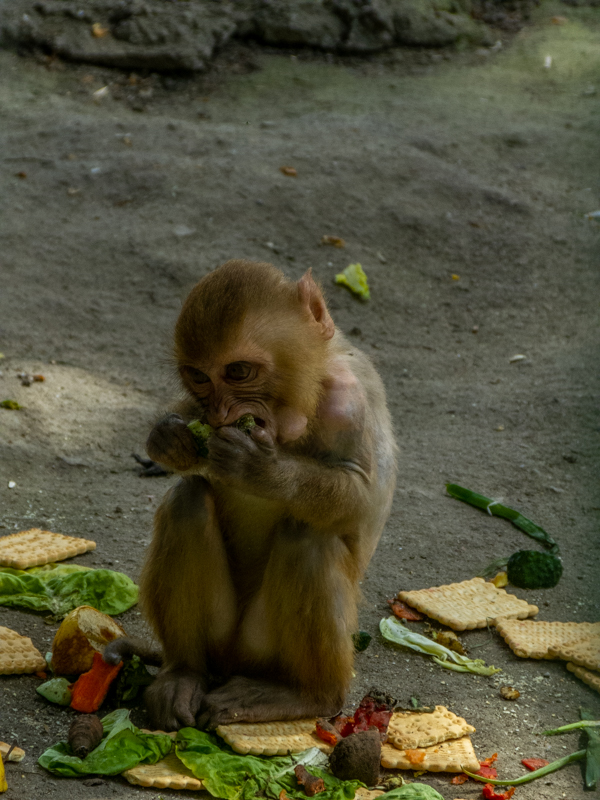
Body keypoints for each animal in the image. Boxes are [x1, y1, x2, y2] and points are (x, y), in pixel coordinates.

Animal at [105, 259, 397, 732]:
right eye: (199, 377)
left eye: (239, 372)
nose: (222, 412)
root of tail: (232, 663)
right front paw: (169, 439)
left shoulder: (347, 403)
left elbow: (360, 497)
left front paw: (260, 469)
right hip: (222, 639)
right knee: (187, 503)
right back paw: (184, 674)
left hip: (265, 648)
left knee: (308, 537)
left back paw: (308, 695)